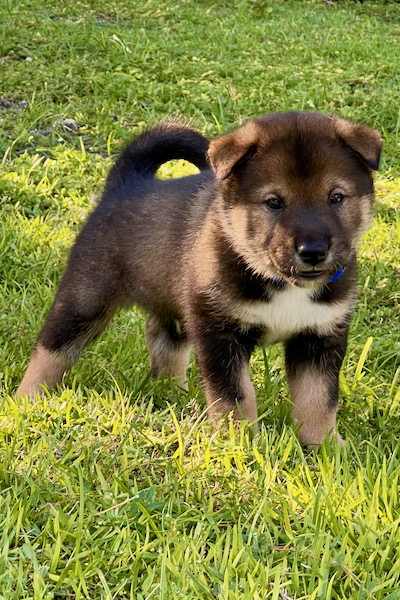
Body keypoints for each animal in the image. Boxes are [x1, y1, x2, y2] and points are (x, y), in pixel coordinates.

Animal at [18, 112, 382, 448]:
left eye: (336, 197)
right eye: (274, 202)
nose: (314, 251)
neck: (277, 281)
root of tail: (125, 184)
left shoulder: (320, 336)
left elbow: (318, 399)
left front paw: (324, 448)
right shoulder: (218, 331)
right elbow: (234, 394)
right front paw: (239, 442)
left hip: (172, 305)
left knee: (164, 343)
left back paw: (172, 396)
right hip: (85, 298)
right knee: (51, 350)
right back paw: (27, 401)